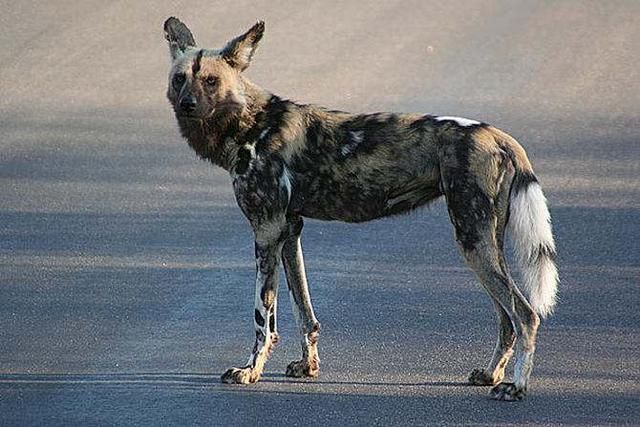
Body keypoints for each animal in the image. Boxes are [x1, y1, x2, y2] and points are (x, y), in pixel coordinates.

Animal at [164, 18, 556, 402]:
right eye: (179, 78)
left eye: (211, 81)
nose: (187, 104)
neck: (250, 123)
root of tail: (499, 136)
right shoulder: (288, 231)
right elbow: (304, 310)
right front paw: (307, 366)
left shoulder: (266, 230)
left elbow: (263, 318)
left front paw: (250, 371)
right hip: (486, 243)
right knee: (507, 320)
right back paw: (491, 375)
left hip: (472, 241)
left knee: (526, 315)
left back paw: (516, 387)